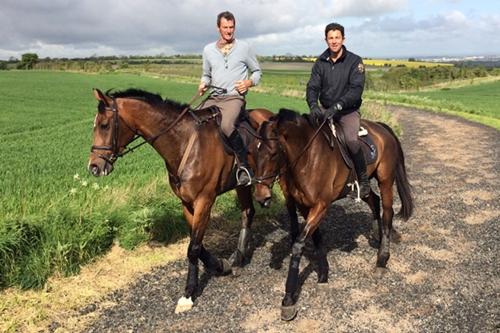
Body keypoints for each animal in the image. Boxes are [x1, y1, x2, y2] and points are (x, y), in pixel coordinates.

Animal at [87, 87, 274, 312]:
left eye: (104, 125)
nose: (94, 167)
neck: (184, 143)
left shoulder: (204, 201)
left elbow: (193, 248)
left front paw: (188, 294)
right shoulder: (186, 203)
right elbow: (197, 244)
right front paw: (220, 265)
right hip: (241, 186)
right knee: (247, 212)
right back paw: (238, 256)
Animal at [252, 108, 412, 320]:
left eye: (273, 153)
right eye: (253, 152)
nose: (261, 197)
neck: (308, 158)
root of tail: (381, 127)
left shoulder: (321, 205)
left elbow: (298, 244)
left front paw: (288, 299)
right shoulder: (305, 206)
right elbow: (316, 237)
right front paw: (323, 273)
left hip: (385, 180)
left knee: (387, 212)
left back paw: (381, 259)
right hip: (365, 187)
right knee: (374, 201)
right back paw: (376, 236)